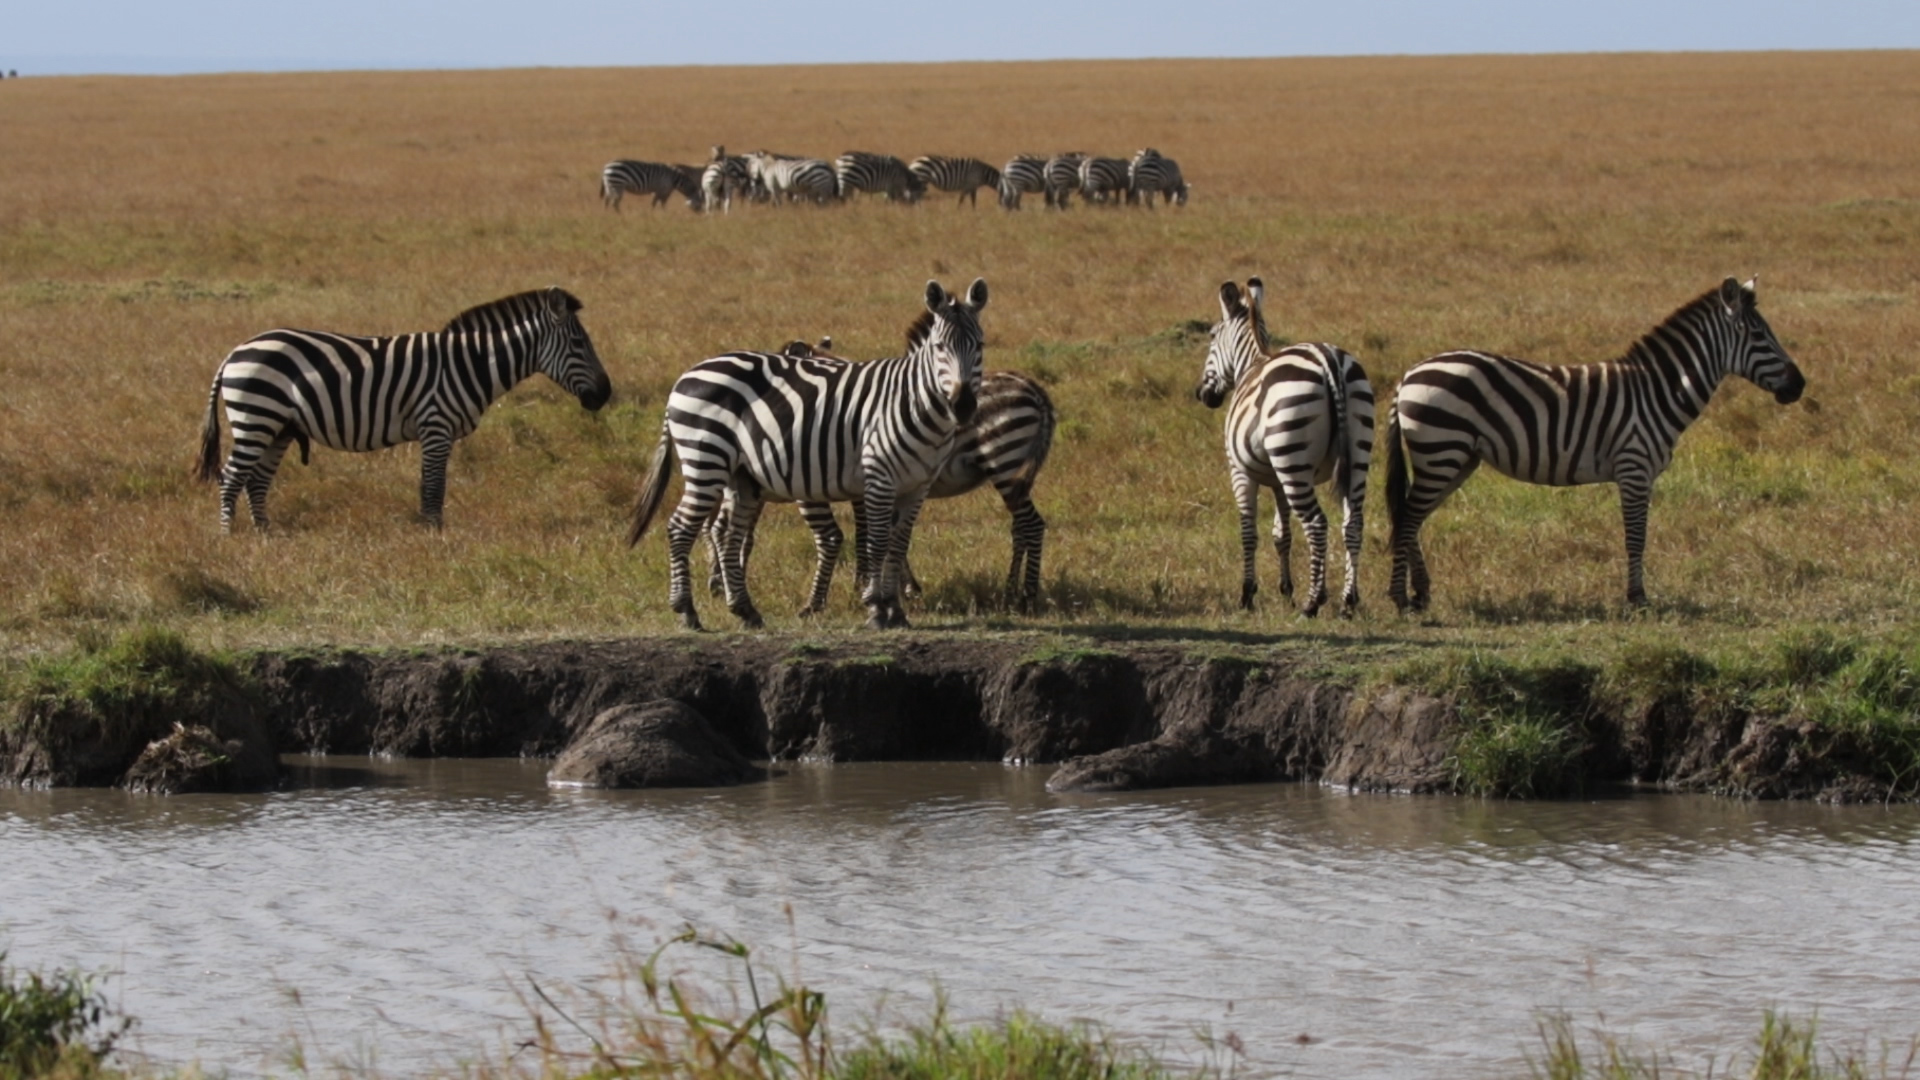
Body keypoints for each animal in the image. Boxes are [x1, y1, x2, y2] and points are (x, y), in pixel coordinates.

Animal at [193, 286, 606, 530]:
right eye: (579, 343)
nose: (605, 394)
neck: (469, 363)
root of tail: (236, 351)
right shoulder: (436, 425)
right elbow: (434, 485)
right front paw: (434, 534)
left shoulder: (435, 431)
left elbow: (430, 484)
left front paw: (430, 530)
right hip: (256, 418)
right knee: (232, 476)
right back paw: (230, 537)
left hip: (277, 427)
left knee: (257, 480)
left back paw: (265, 534)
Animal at [629, 276, 990, 630]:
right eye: (939, 347)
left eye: (980, 346)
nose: (963, 405)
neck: (913, 402)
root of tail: (687, 374)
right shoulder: (879, 476)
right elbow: (876, 542)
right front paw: (876, 608)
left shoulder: (917, 486)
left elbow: (898, 545)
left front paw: (896, 610)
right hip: (706, 460)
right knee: (680, 527)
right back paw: (687, 611)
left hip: (740, 475)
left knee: (728, 534)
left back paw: (746, 611)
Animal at [1190, 276, 1374, 614]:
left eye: (1211, 338)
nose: (1202, 394)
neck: (1252, 362)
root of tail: (1329, 360)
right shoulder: (1277, 480)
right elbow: (1282, 534)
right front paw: (1286, 591)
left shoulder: (1241, 472)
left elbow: (1248, 532)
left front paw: (1248, 594)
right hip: (1354, 456)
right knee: (1353, 523)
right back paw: (1348, 601)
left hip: (1294, 464)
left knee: (1316, 524)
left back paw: (1313, 603)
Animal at [1390, 272, 1804, 611]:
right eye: (1758, 334)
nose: (1800, 385)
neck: (1657, 390)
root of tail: (1409, 373)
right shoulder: (1634, 467)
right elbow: (1636, 537)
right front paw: (1637, 599)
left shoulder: (1640, 473)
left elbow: (1637, 536)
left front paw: (1636, 596)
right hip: (1441, 450)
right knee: (1407, 517)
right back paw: (1400, 597)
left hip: (1457, 458)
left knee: (1412, 517)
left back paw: (1421, 593)